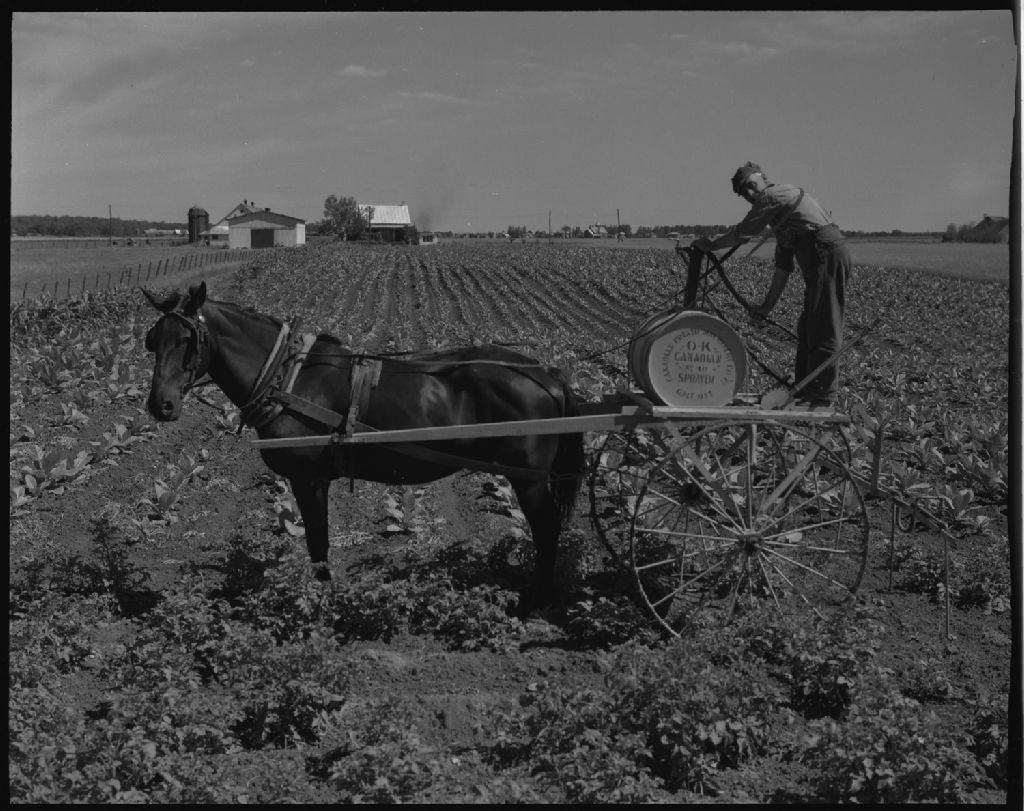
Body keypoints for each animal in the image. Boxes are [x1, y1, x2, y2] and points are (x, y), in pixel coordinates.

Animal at [141, 282, 585, 614]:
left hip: (527, 478)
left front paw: (322, 601)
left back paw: (536, 600)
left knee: (547, 530)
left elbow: (318, 542)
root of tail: (548, 373)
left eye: (188, 339)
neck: (287, 377)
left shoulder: (308, 478)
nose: (161, 406)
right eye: (152, 341)